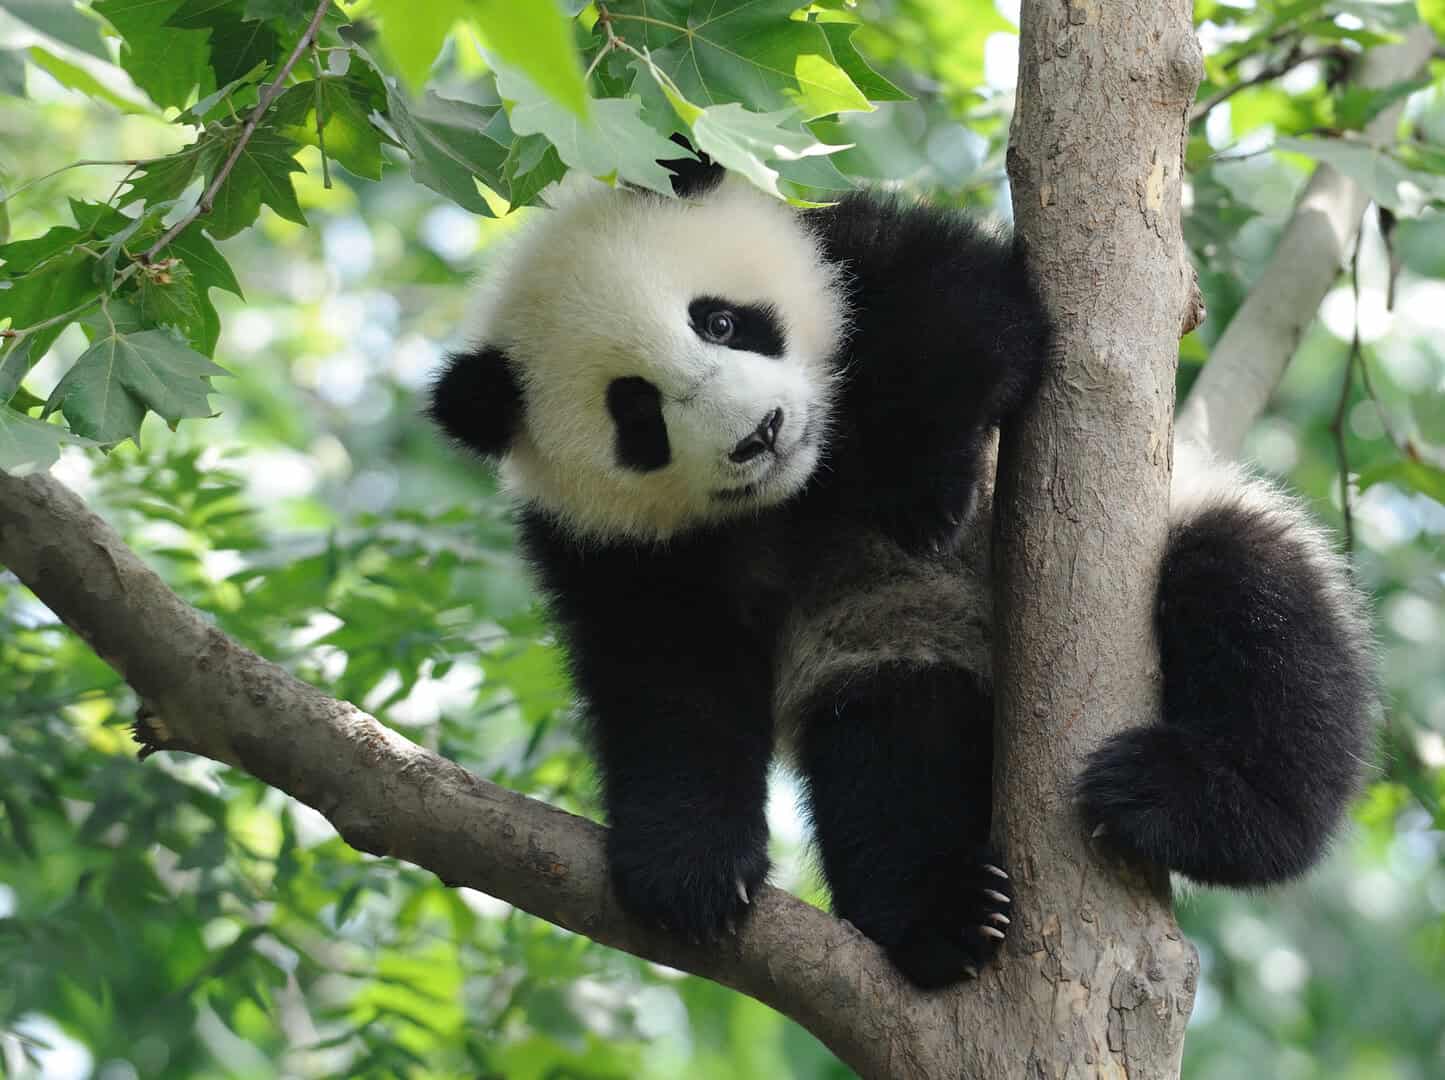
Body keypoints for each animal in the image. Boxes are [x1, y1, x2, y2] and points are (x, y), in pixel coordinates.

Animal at [428, 162, 1377, 990]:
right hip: (892, 648)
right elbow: (667, 680)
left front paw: (922, 491)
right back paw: (943, 917)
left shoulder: (853, 251)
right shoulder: (610, 545)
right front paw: (687, 869)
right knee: (890, 759)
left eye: (721, 322)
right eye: (636, 412)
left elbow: (968, 311)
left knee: (1256, 616)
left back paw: (1189, 803)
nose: (760, 433)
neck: (805, 487)